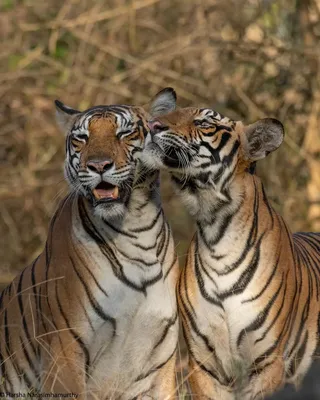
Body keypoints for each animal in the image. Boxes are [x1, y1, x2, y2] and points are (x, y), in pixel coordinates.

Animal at [0, 88, 180, 400]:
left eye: (125, 133)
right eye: (82, 138)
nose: (98, 166)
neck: (135, 226)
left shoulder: (159, 359)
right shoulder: (64, 350)